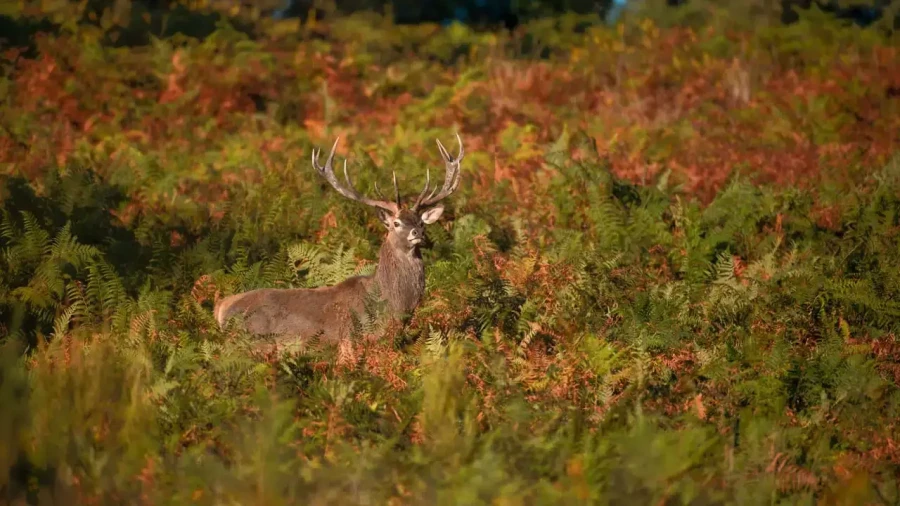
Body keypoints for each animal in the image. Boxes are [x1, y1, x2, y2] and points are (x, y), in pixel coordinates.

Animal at [214, 134, 464, 350]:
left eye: (421, 222)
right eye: (396, 223)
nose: (417, 232)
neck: (393, 307)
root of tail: (221, 309)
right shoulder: (352, 336)